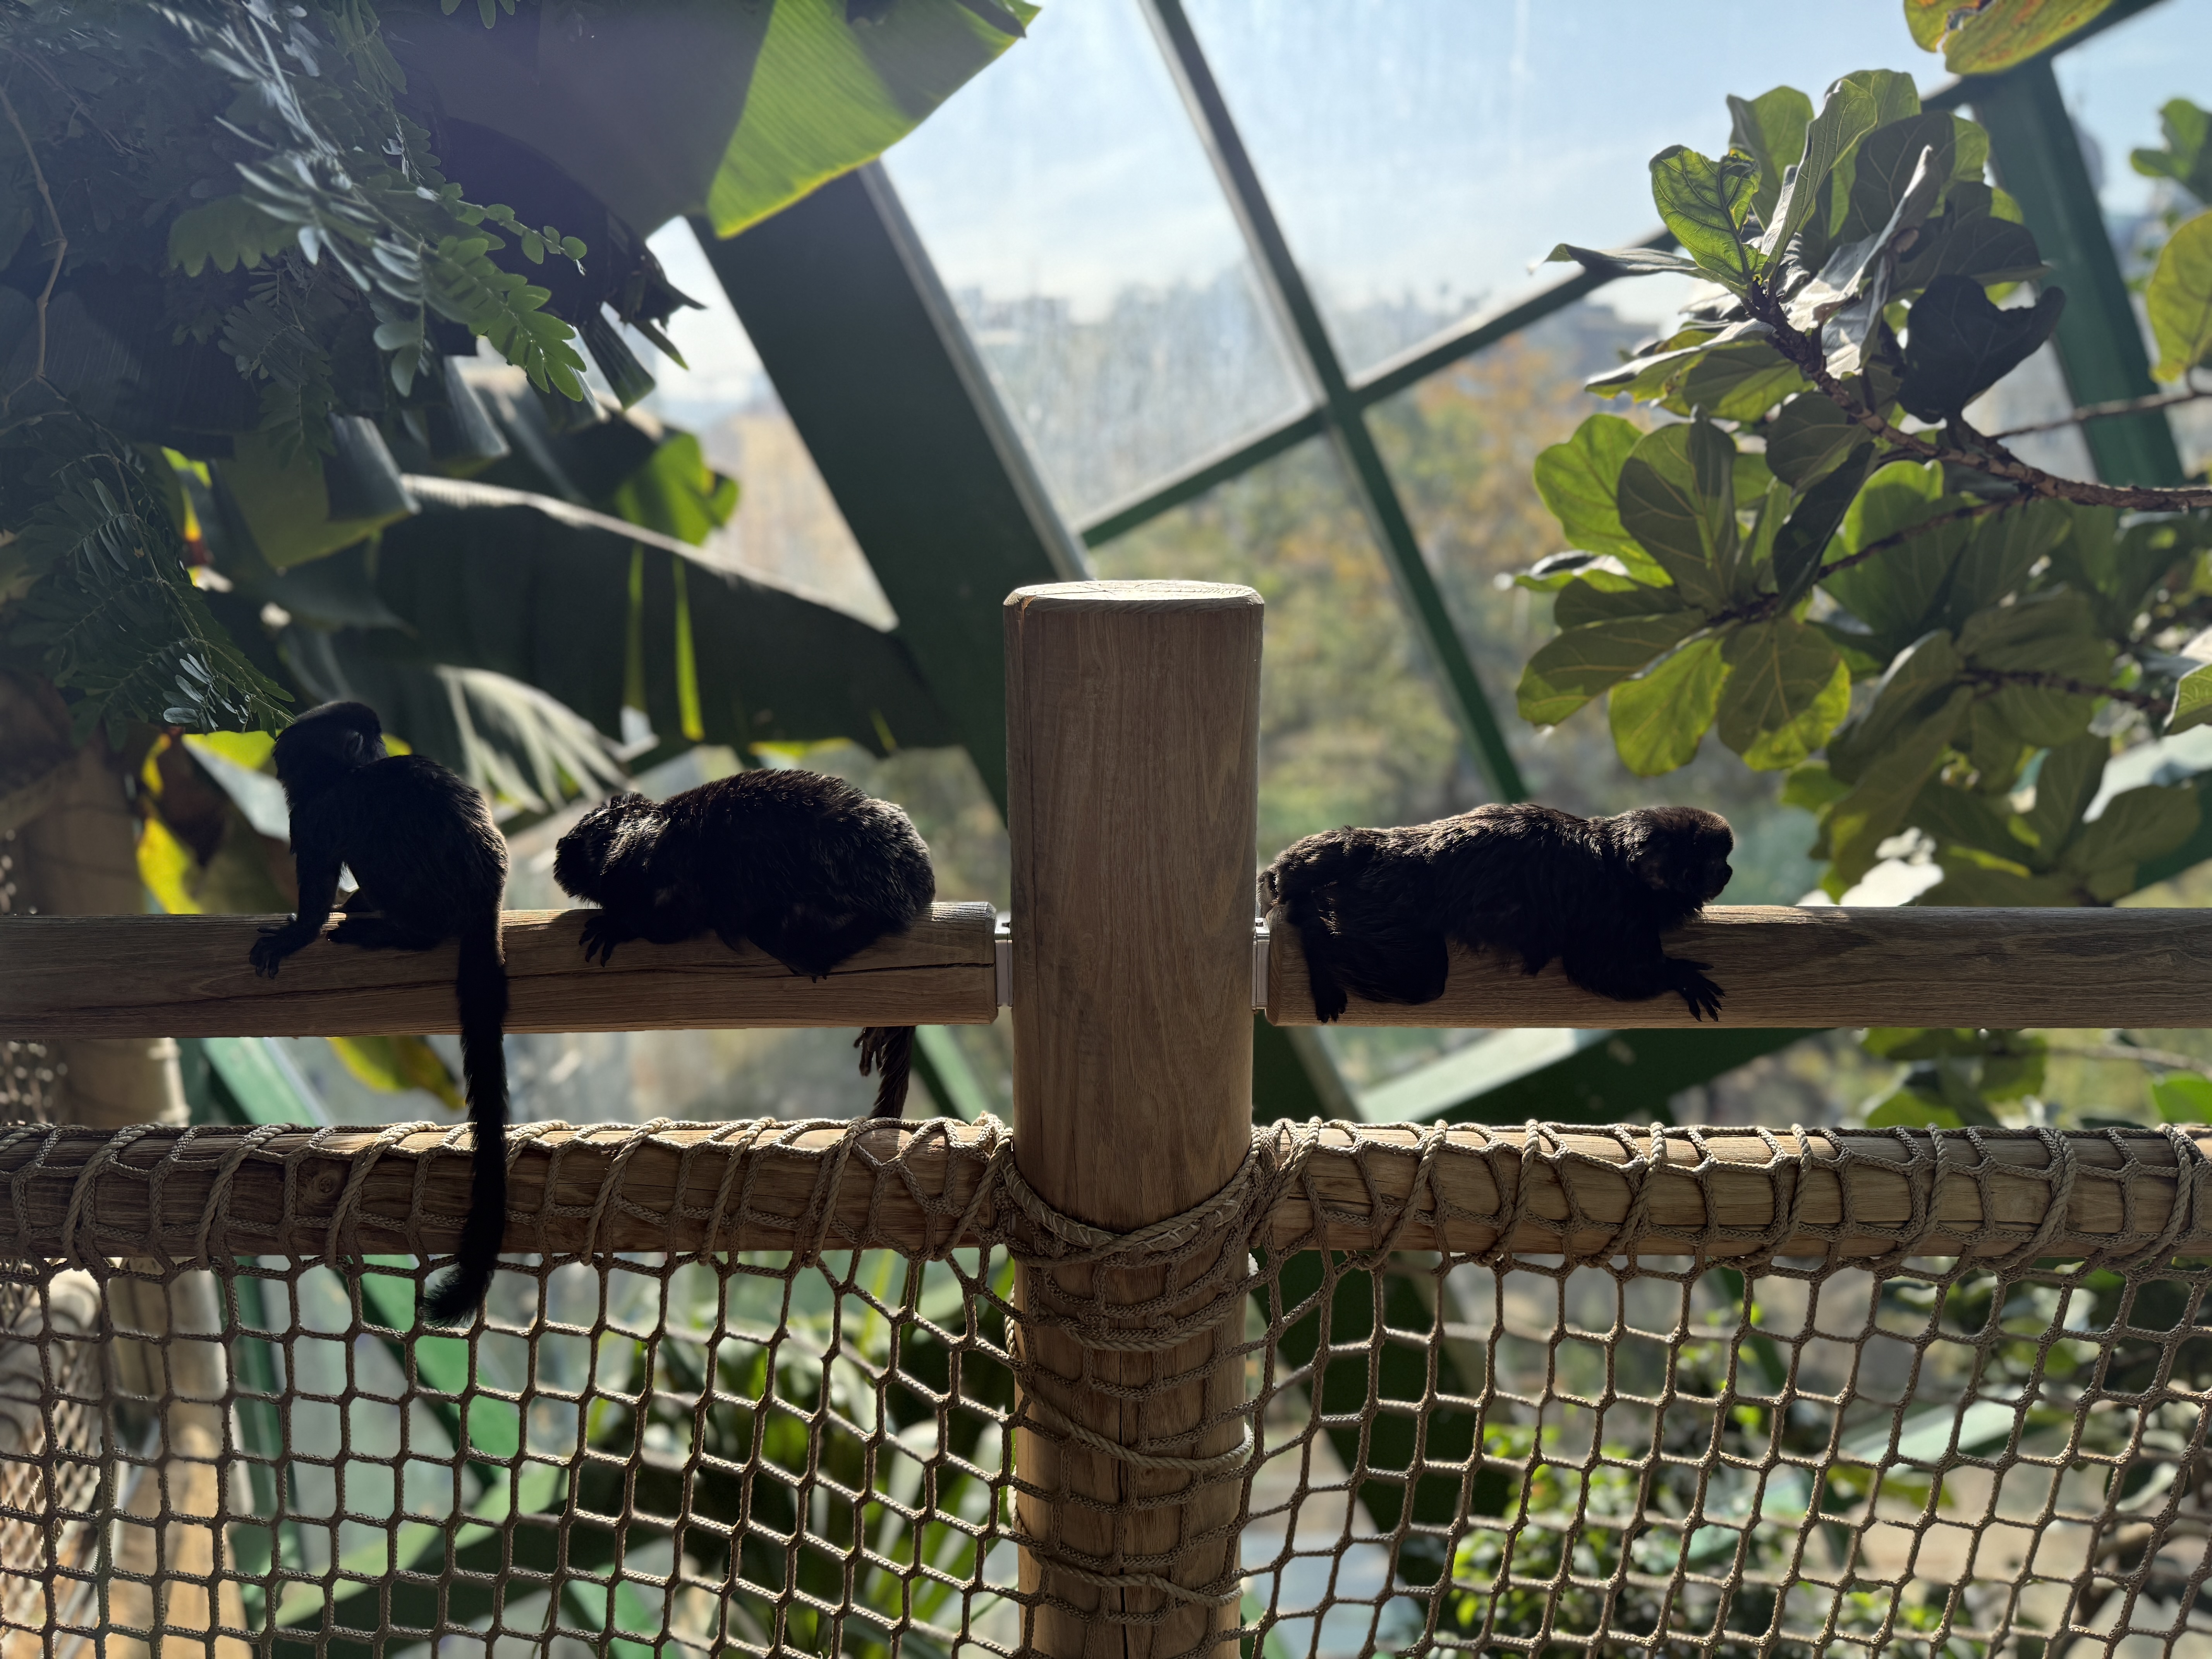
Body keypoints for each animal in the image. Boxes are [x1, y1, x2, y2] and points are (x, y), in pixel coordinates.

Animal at [246, 701, 510, 1325]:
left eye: (291, 754)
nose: (279, 760)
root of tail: (487, 887)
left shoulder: (317, 815)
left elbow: (317, 890)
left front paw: (295, 936)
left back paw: (399, 932)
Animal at [551, 770, 937, 1117]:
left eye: (597, 835)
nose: (570, 848)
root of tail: (921, 879)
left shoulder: (664, 874)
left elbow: (668, 924)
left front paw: (617, 926)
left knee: (782, 939)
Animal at [1259, 803, 1734, 1025]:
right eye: (1707, 865)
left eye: (1721, 861)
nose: (1727, 872)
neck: (1623, 868)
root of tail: (1394, 846)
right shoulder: (1612, 910)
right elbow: (1597, 970)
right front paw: (1678, 975)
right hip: (1382, 902)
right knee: (1422, 979)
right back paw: (1315, 939)